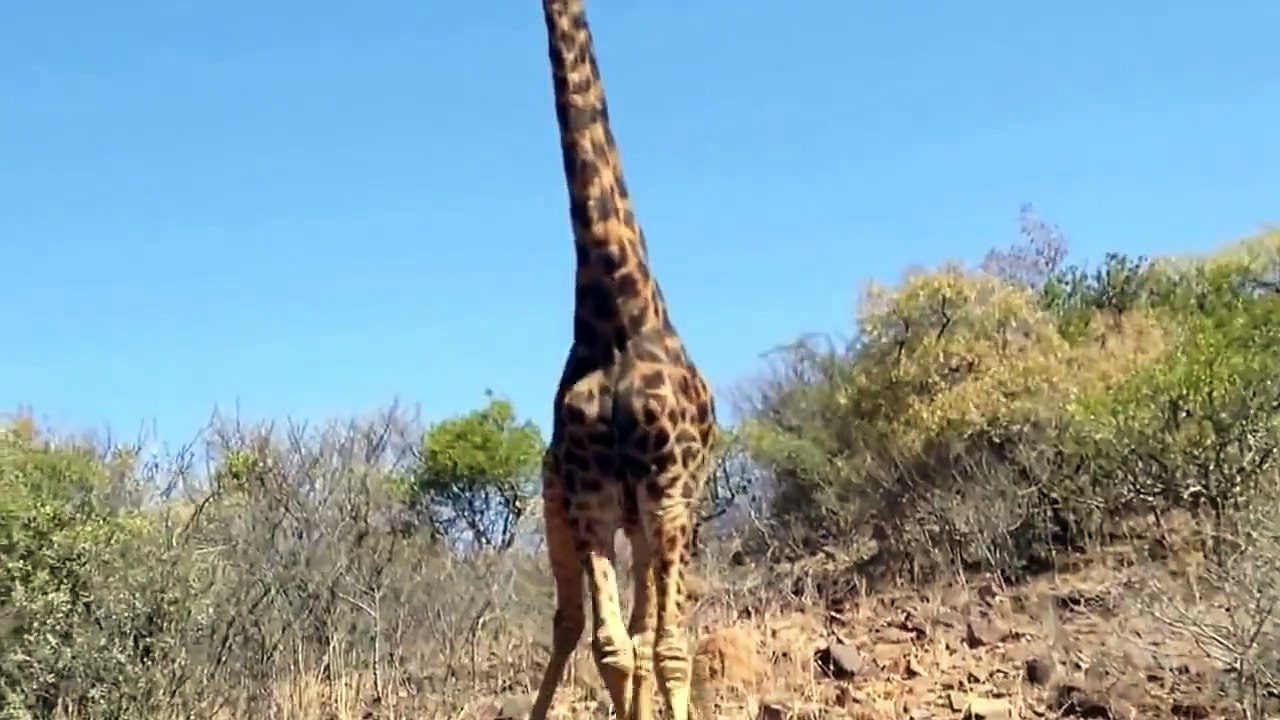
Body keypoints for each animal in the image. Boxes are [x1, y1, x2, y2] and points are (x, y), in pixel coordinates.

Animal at [529, 1, 718, 719]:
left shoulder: (666, 496)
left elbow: (667, 648)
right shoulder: (592, 501)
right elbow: (613, 648)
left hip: (666, 511)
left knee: (645, 632)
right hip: (579, 510)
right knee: (578, 624)